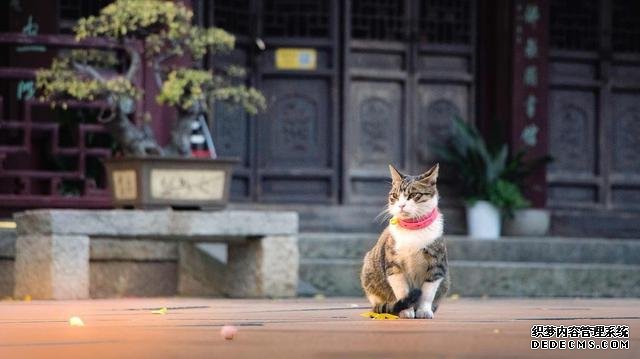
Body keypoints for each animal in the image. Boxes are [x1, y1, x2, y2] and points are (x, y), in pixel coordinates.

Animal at [360, 165, 450, 320]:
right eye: (395, 196)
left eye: (414, 195)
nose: (401, 205)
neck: (412, 230)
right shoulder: (393, 264)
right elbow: (401, 290)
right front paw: (406, 311)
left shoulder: (437, 264)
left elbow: (428, 292)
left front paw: (424, 310)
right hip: (369, 268)